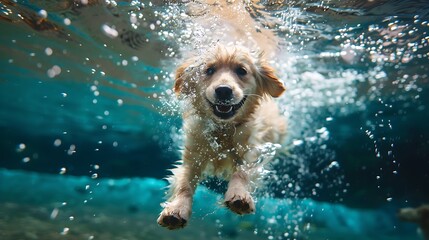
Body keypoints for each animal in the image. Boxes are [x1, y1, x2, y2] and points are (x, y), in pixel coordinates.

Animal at [156, 45, 284, 231]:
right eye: (209, 70)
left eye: (241, 70)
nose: (223, 90)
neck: (223, 130)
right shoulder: (193, 155)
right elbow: (184, 184)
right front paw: (177, 209)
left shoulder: (250, 151)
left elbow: (241, 173)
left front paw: (239, 195)